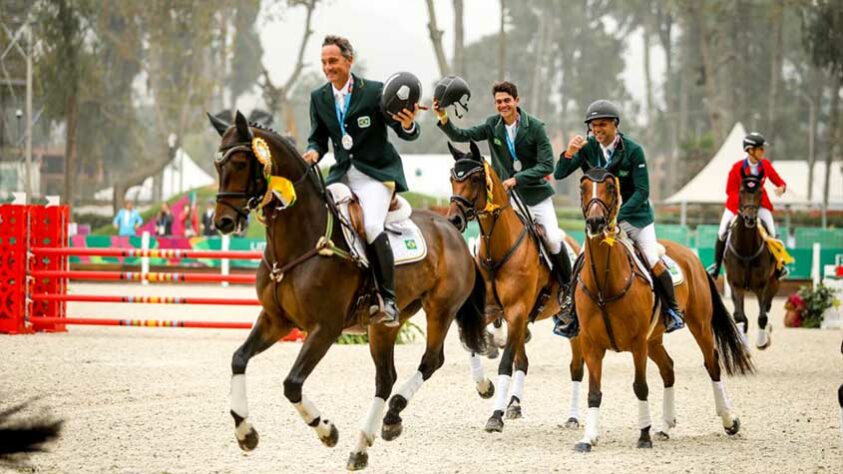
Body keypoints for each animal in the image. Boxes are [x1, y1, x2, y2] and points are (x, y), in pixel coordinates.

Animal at [211, 110, 488, 470]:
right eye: (217, 165)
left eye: (242, 163)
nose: (223, 222)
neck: (299, 240)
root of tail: (452, 229)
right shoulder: (275, 320)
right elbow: (238, 359)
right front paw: (245, 432)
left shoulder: (324, 329)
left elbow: (292, 384)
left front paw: (326, 430)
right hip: (385, 326)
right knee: (385, 378)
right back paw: (363, 446)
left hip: (440, 310)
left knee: (430, 361)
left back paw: (390, 416)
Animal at [442, 142, 588, 434]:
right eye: (453, 178)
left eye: (475, 179)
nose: (454, 220)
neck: (496, 250)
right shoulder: (491, 312)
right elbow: (472, 345)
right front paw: (484, 387)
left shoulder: (516, 311)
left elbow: (505, 363)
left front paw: (495, 416)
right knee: (524, 361)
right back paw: (514, 404)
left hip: (564, 323)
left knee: (576, 368)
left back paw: (572, 417)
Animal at [572, 167, 756, 452]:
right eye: (582, 188)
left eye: (611, 188)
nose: (595, 222)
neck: (604, 283)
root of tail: (690, 255)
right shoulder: (592, 344)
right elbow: (594, 392)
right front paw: (588, 438)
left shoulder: (637, 343)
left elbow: (640, 387)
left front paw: (643, 436)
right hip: (654, 339)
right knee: (668, 368)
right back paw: (665, 426)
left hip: (698, 326)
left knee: (712, 364)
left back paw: (729, 420)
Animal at [724, 174, 780, 348]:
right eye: (741, 191)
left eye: (760, 192)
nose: (750, 219)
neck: (746, 250)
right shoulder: (736, 285)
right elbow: (740, 316)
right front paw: (744, 342)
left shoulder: (761, 286)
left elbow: (762, 316)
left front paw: (762, 341)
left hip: (774, 282)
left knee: (767, 307)